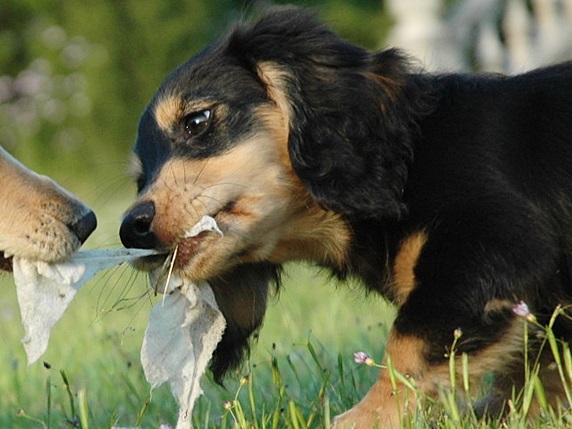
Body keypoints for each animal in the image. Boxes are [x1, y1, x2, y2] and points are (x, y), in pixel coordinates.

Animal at [118, 7, 572, 428]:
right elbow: (538, 368)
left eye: (197, 121)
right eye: (140, 177)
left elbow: (409, 343)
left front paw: (364, 417)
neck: (408, 161)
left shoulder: (493, 244)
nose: (130, 230)